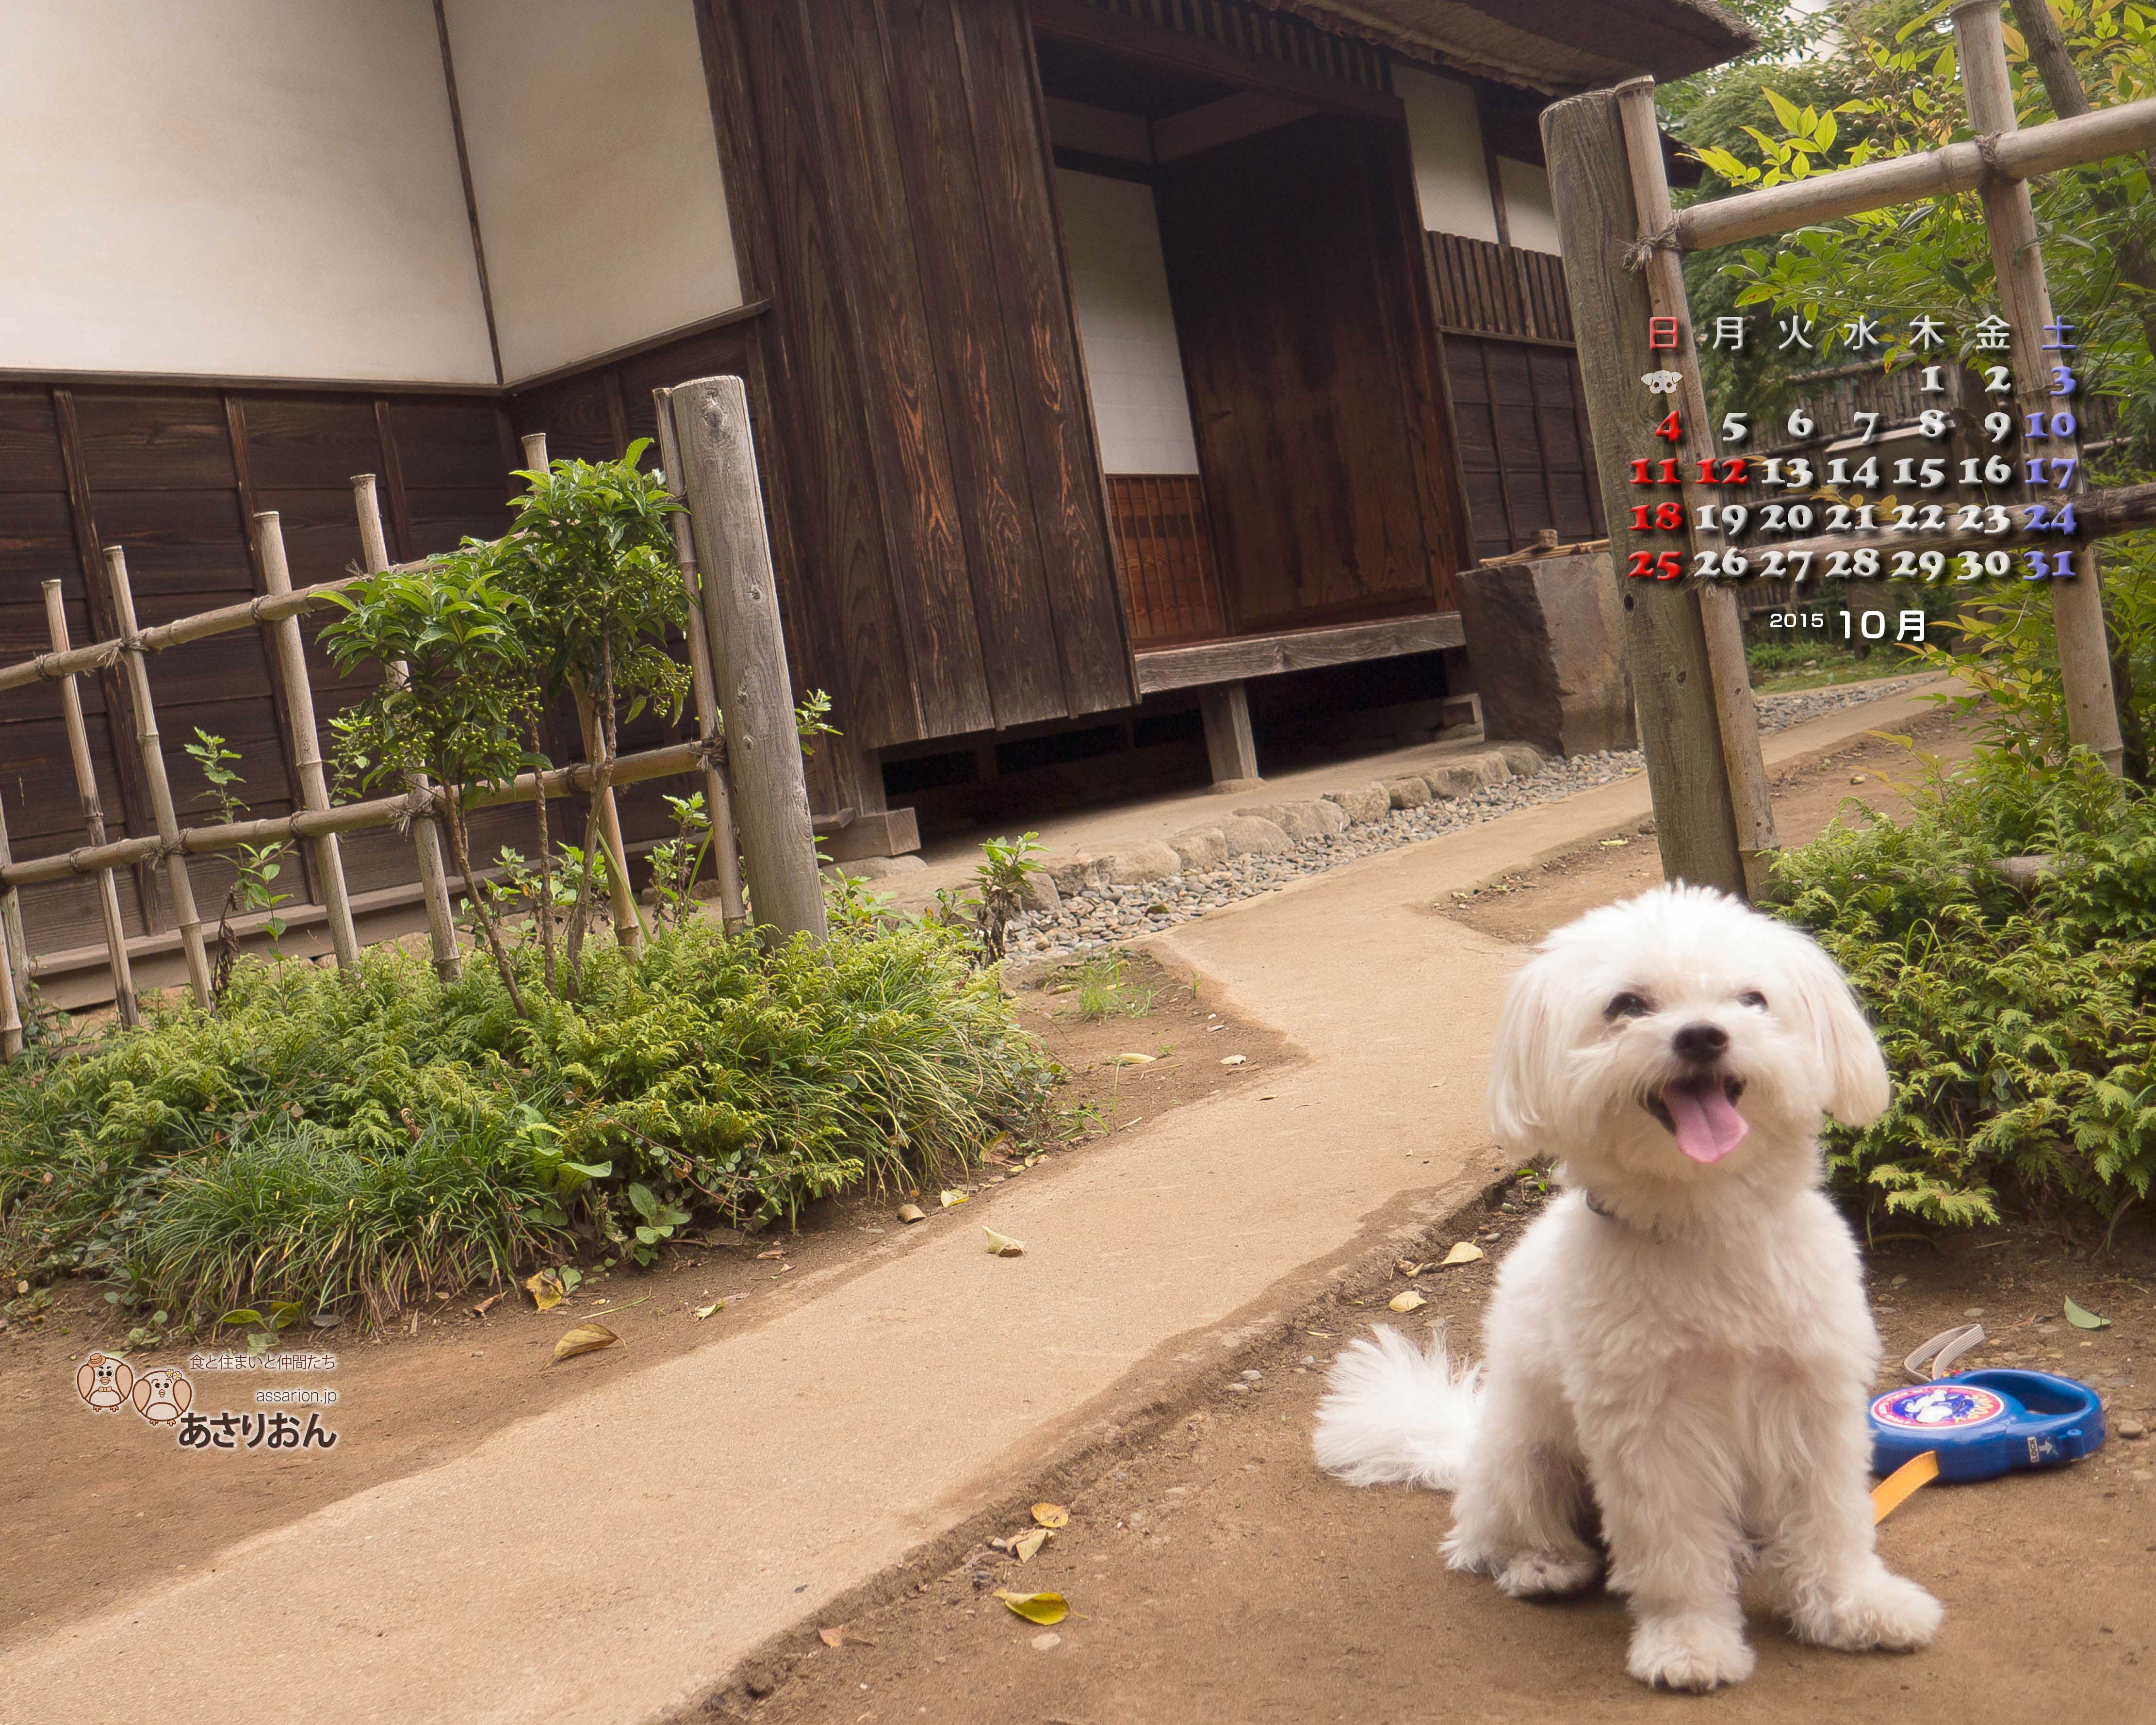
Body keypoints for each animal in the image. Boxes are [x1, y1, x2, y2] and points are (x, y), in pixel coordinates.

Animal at [1302, 884, 1949, 1690]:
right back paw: (1544, 1565)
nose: (1703, 1036)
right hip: (1526, 1451)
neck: (1705, 1227)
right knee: (1496, 1531)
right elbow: (1673, 1550)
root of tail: (1466, 1442)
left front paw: (1855, 1608)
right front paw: (1689, 1644)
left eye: (1752, 998)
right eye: (1628, 1005)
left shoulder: (1811, 1400)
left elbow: (1831, 1520)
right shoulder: (1653, 1427)